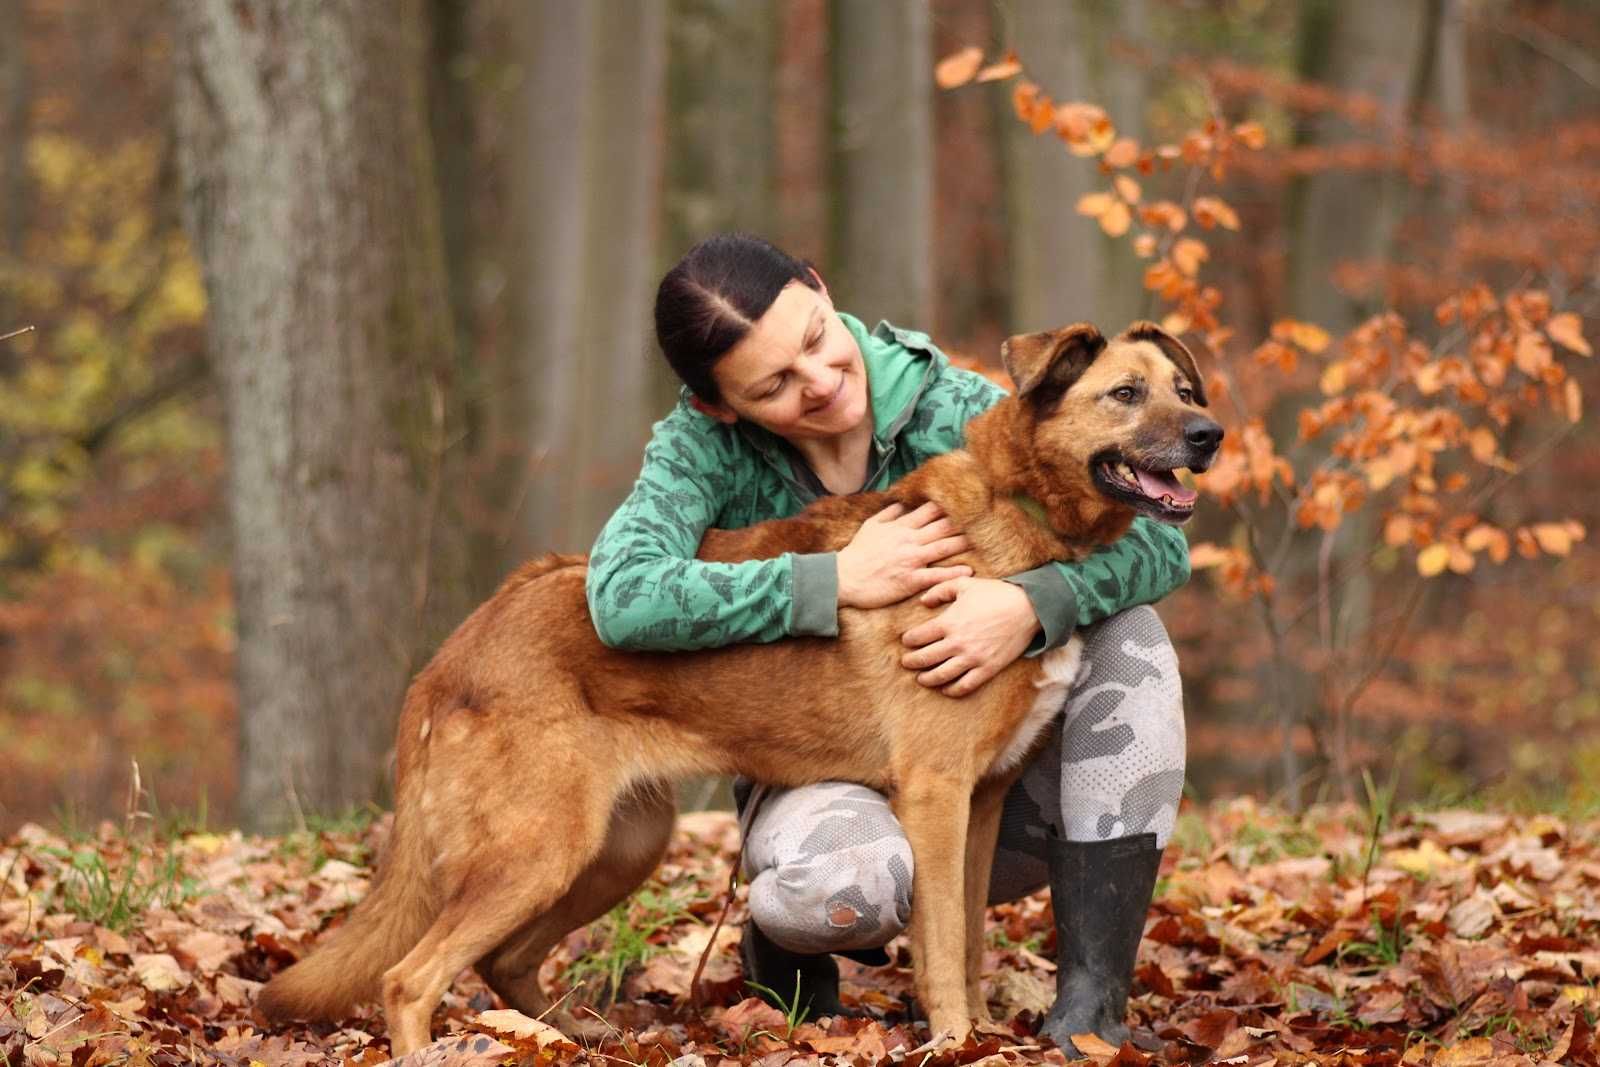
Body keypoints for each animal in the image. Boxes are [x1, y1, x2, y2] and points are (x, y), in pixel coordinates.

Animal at [256, 321, 1216, 1055]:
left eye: (1182, 387)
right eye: (1126, 394)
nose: (1210, 434)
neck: (1022, 517)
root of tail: (454, 649)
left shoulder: (978, 806)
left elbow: (970, 940)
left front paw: (982, 1031)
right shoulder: (938, 798)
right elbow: (944, 945)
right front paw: (954, 1040)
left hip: (614, 847)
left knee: (501, 961)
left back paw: (576, 1034)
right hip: (542, 849)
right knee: (408, 976)